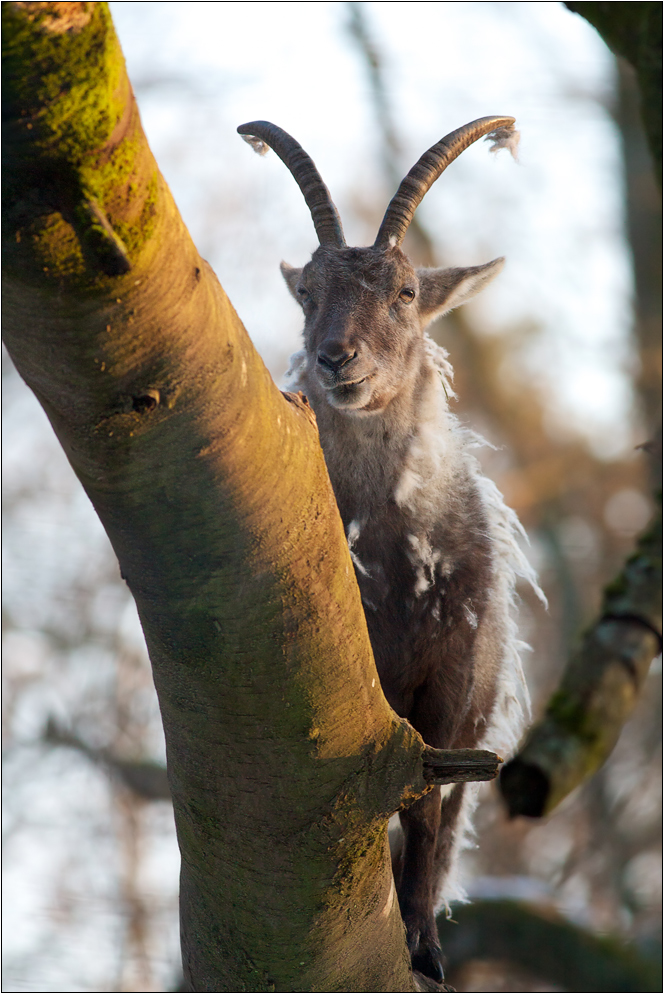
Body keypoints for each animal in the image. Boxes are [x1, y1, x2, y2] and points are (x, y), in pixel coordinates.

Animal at [239, 114, 540, 976]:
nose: (337, 358)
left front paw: (425, 948)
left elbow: (429, 812)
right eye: (307, 292)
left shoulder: (450, 683)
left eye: (405, 291)